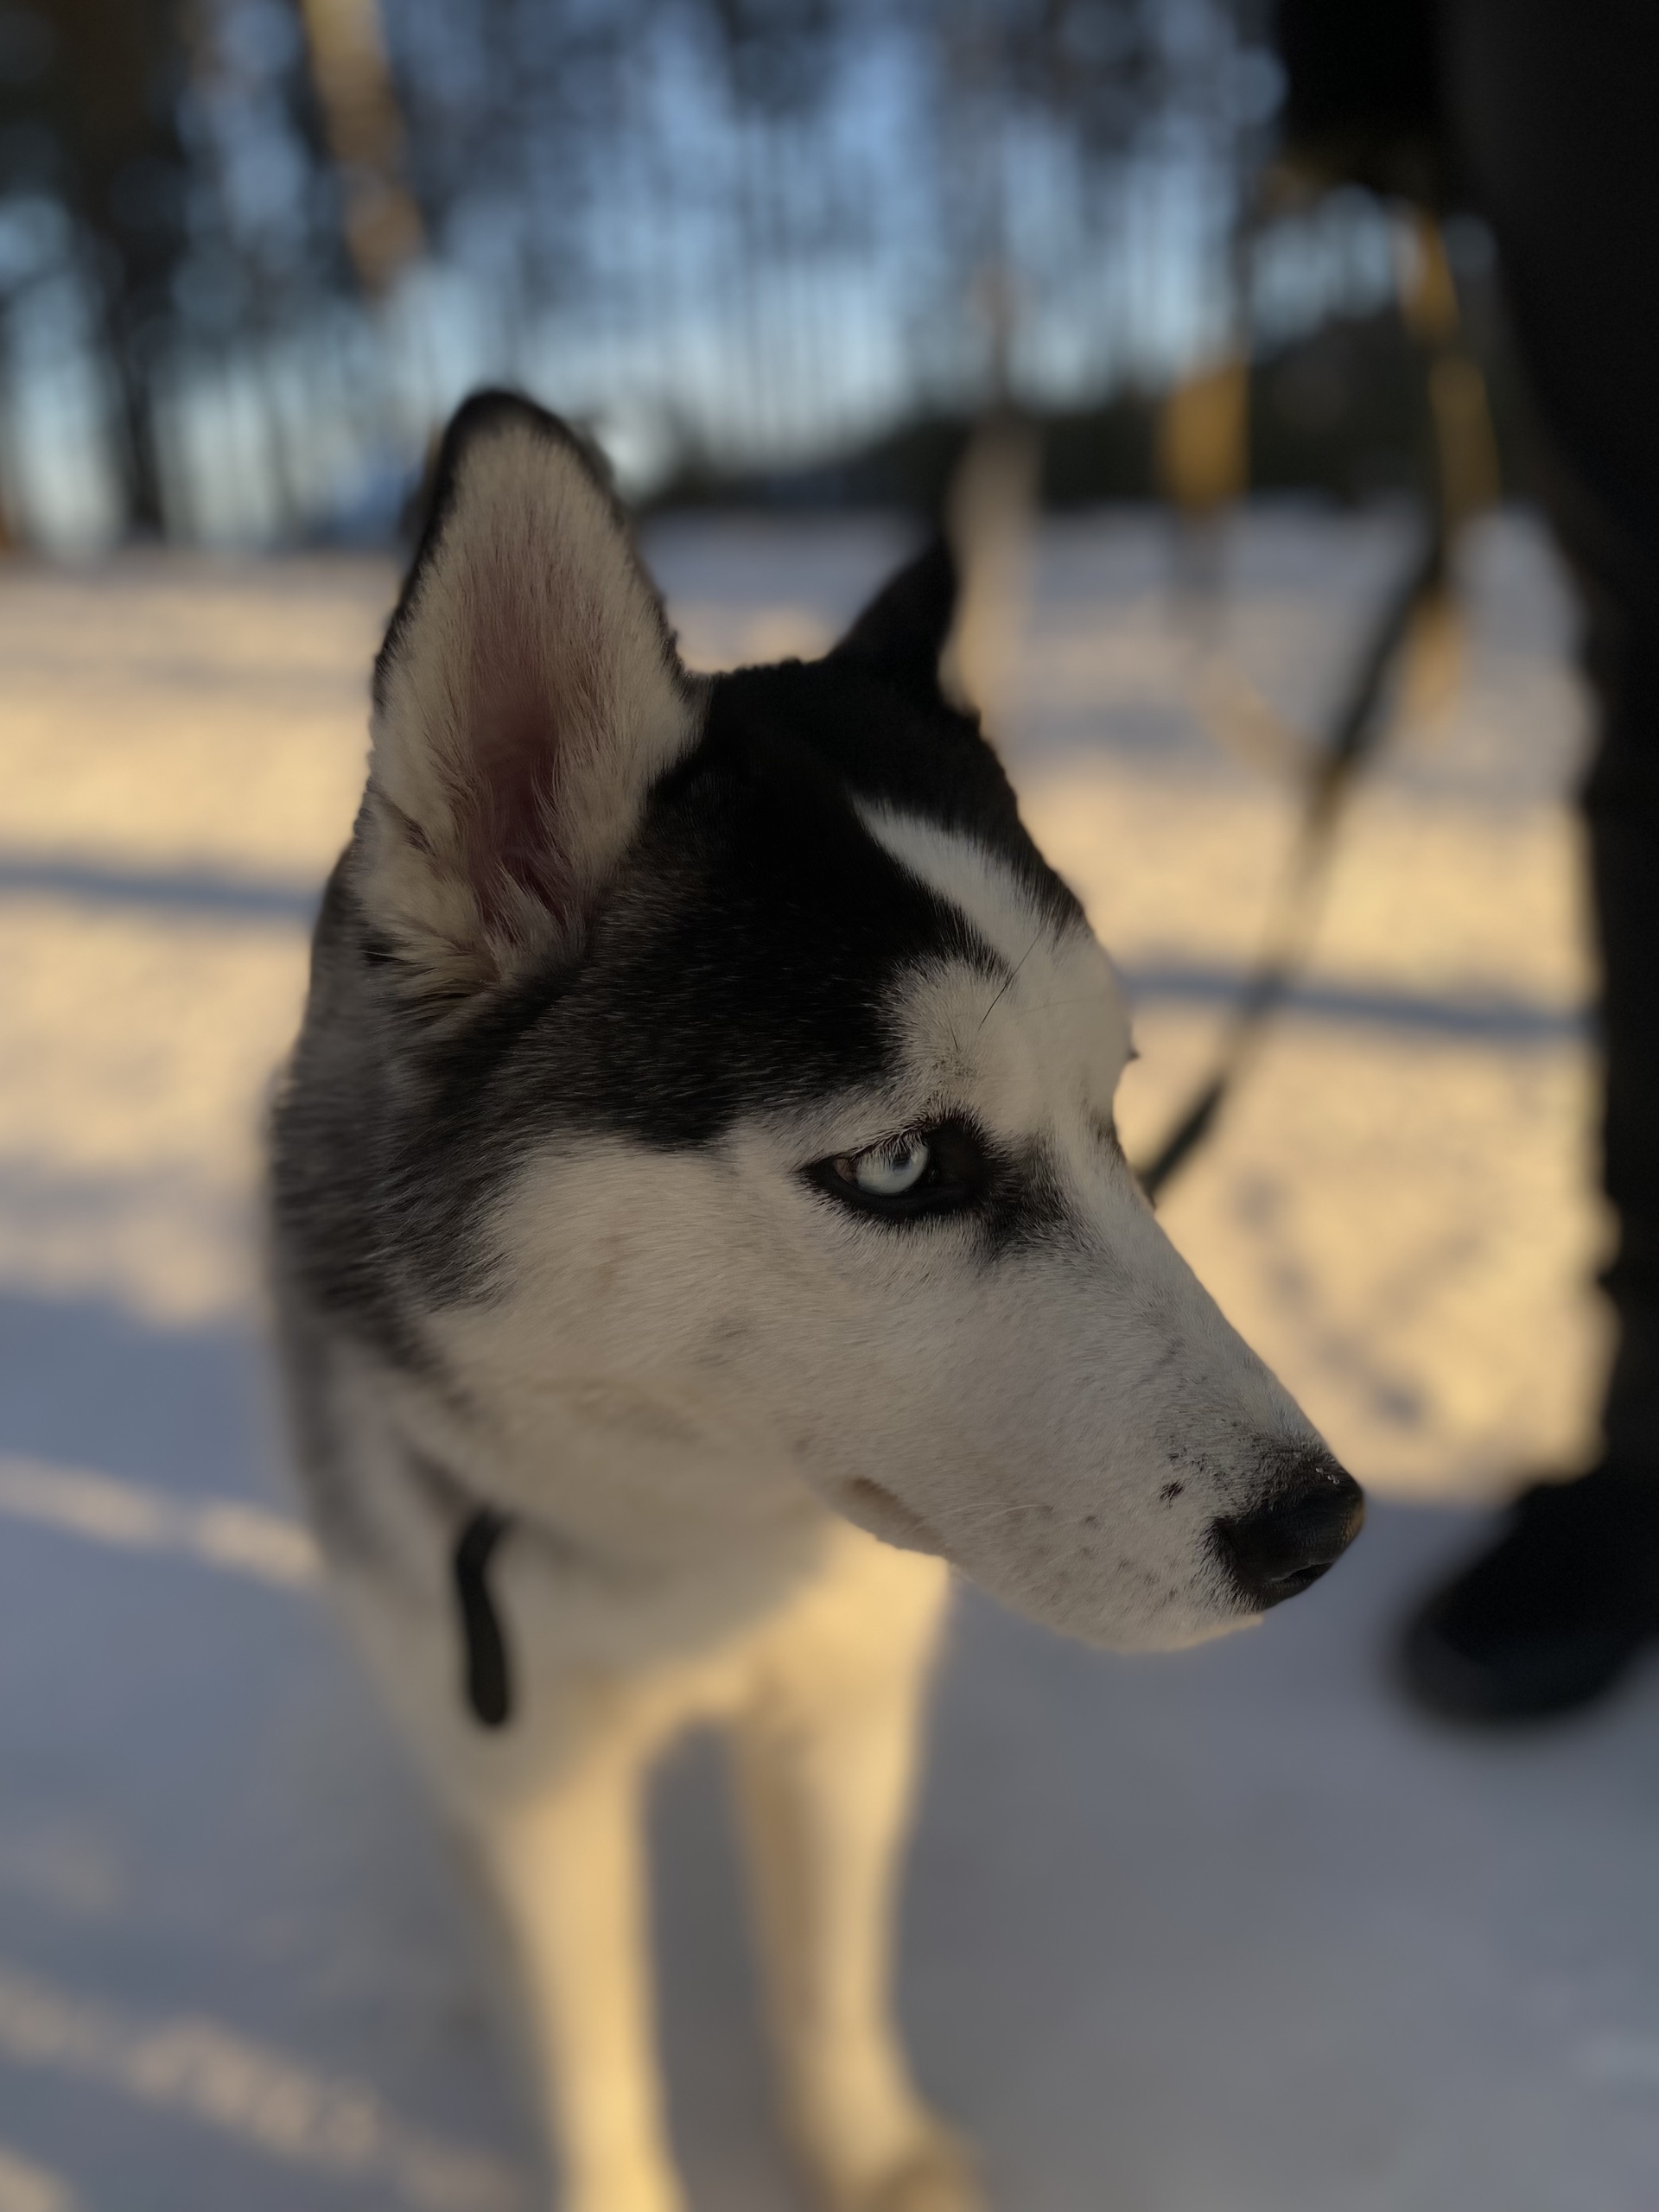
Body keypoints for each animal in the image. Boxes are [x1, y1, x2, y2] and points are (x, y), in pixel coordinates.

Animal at [270, 397, 1362, 2212]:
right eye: (903, 1164)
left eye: (1115, 1110)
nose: (1323, 1530)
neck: (685, 1546)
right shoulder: (530, 1773)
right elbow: (590, 2071)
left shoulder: (836, 1702)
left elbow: (827, 1974)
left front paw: (864, 2158)